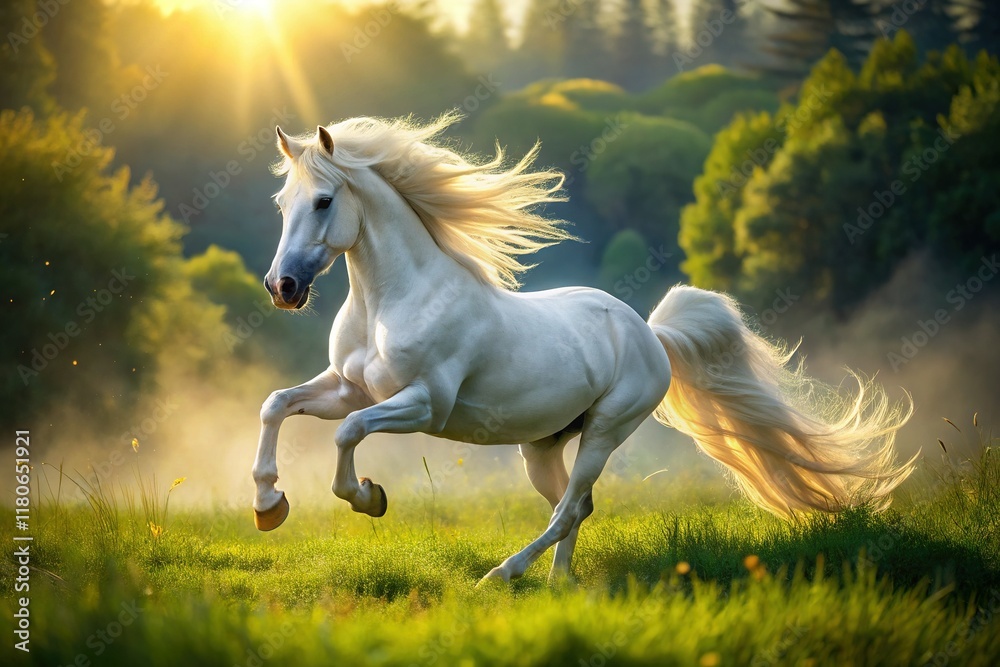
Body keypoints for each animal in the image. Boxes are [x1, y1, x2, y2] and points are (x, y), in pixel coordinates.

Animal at [251, 112, 916, 584]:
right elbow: (276, 403)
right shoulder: (348, 388)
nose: (282, 288)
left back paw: (503, 574)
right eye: (282, 204)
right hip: (542, 447)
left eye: (324, 201)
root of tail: (649, 334)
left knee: (569, 508)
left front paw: (368, 498)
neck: (391, 303)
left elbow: (348, 434)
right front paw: (268, 504)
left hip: (605, 430)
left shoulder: (424, 404)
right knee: (575, 505)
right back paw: (558, 582)